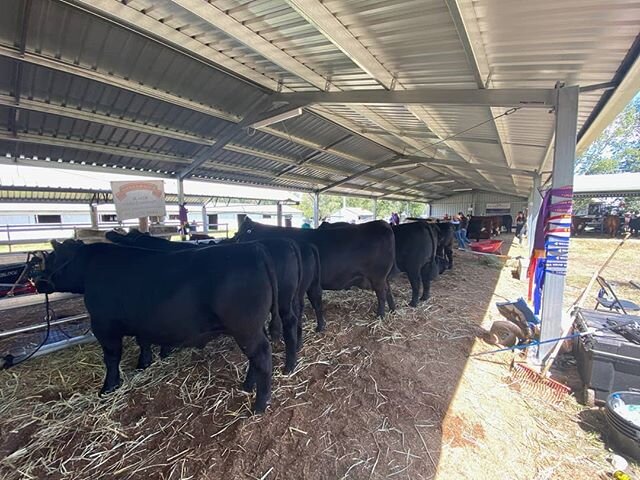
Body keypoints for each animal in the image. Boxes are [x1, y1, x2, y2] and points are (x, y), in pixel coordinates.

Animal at [35, 238, 276, 410]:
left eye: (52, 258)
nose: (37, 282)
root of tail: (254, 248)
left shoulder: (103, 326)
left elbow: (111, 358)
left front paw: (108, 387)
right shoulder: (142, 322)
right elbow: (143, 341)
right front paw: (144, 363)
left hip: (246, 329)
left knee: (262, 358)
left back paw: (259, 405)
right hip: (254, 328)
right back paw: (247, 386)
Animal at [235, 218, 396, 318]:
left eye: (238, 234)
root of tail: (382, 224)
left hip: (378, 277)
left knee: (381, 294)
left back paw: (380, 315)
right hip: (383, 277)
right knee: (388, 291)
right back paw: (393, 310)